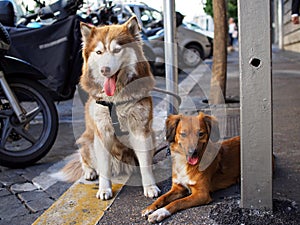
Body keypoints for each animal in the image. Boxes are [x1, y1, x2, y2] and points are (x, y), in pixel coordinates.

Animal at [59, 16, 161, 200]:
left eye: (117, 50)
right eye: (99, 52)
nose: (104, 70)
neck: (116, 99)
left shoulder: (140, 130)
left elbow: (144, 163)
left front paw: (150, 186)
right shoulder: (102, 133)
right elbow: (104, 167)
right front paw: (104, 189)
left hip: (152, 135)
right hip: (88, 140)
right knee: (84, 158)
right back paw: (90, 172)